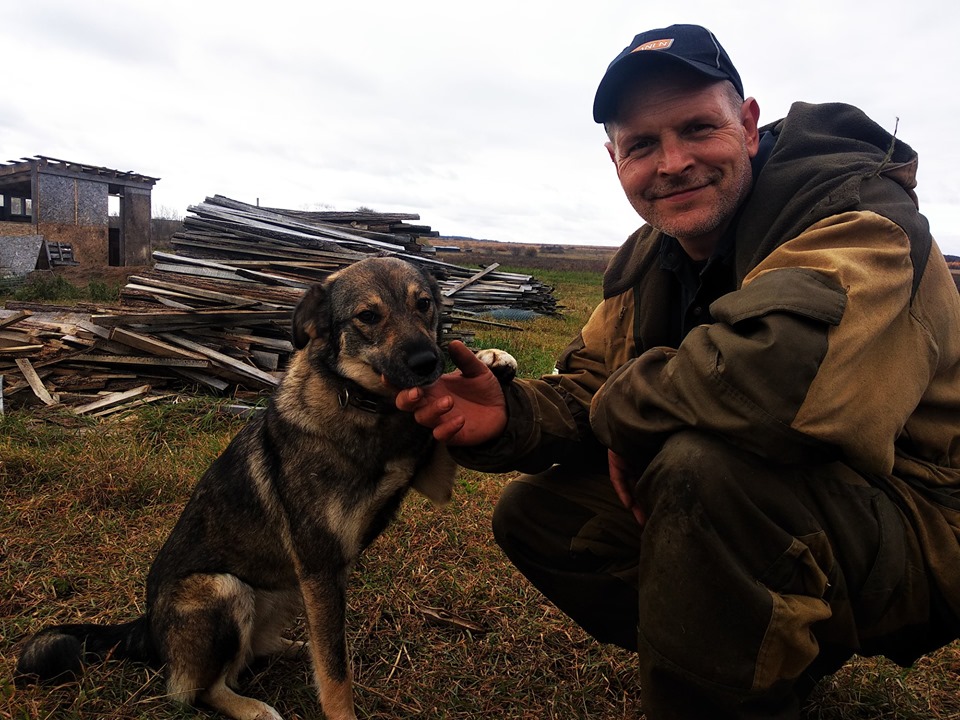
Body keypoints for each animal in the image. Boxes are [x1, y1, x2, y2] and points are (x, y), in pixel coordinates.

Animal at [13, 258, 516, 720]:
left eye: (424, 304)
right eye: (367, 316)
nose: (428, 363)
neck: (365, 406)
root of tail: (148, 627)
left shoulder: (426, 482)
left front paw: (491, 364)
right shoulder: (320, 562)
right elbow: (336, 672)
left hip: (288, 589)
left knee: (267, 650)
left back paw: (295, 647)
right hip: (224, 589)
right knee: (197, 690)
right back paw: (253, 707)